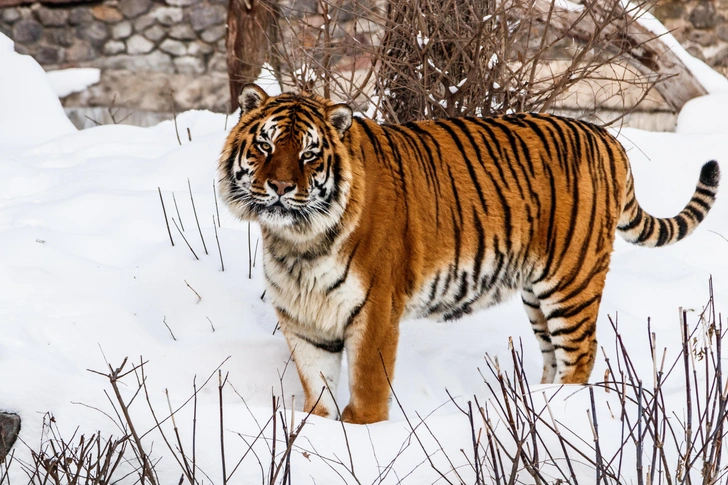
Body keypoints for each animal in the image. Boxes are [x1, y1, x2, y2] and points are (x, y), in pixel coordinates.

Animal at [218, 84, 724, 424]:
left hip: (572, 282)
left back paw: (561, 411)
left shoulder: (374, 311)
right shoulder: (305, 321)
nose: (280, 187)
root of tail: (607, 137)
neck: (298, 241)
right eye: (265, 144)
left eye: (309, 154)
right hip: (537, 295)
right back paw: (537, 404)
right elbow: (316, 393)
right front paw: (318, 431)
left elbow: (367, 390)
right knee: (554, 356)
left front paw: (362, 436)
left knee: (582, 353)